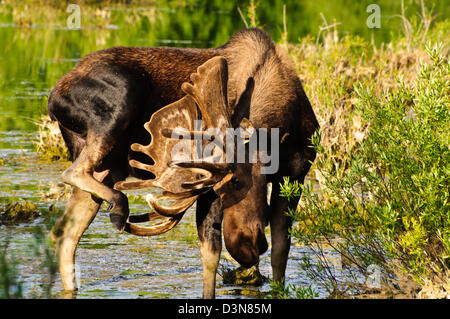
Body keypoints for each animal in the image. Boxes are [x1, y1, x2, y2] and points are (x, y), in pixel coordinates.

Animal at [47, 28, 318, 300]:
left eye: (240, 181)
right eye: (231, 183)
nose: (245, 246)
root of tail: (52, 99)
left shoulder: (296, 173)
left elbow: (280, 253)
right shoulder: (206, 185)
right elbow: (211, 254)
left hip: (106, 166)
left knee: (64, 234)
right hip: (120, 102)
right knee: (73, 174)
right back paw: (119, 207)